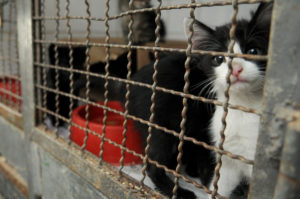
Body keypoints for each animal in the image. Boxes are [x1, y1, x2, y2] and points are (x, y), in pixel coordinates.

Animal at [184, 2, 274, 198]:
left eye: (253, 51)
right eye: (219, 59)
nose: (236, 68)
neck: (243, 107)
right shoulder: (227, 154)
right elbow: (221, 183)